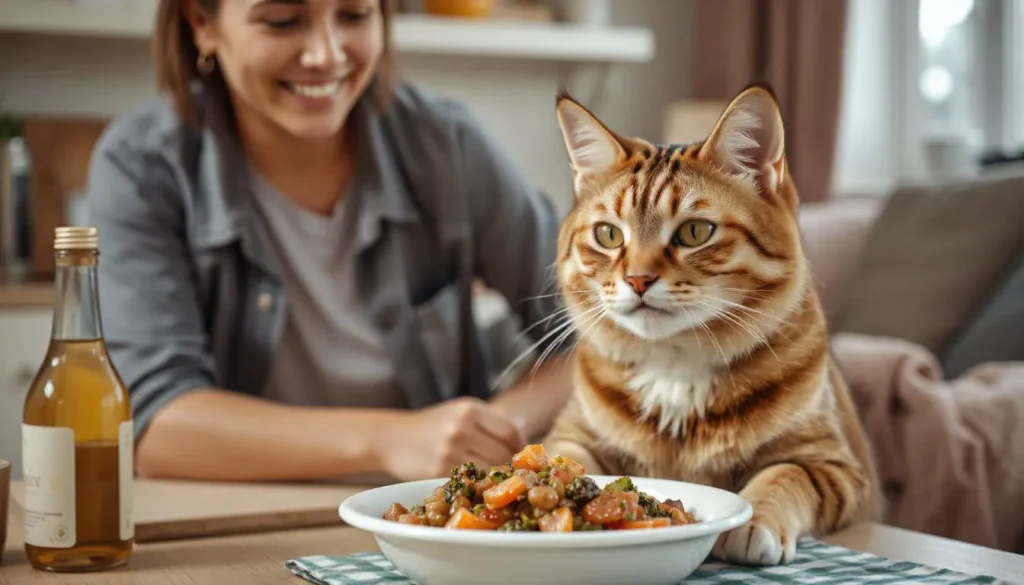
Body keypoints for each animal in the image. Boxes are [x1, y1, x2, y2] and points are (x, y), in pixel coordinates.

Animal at [540, 84, 884, 565]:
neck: (675, 367)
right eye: (609, 235)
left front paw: (753, 520)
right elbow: (560, 457)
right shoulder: (572, 435)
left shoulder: (833, 465)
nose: (637, 280)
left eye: (695, 232)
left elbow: (782, 476)